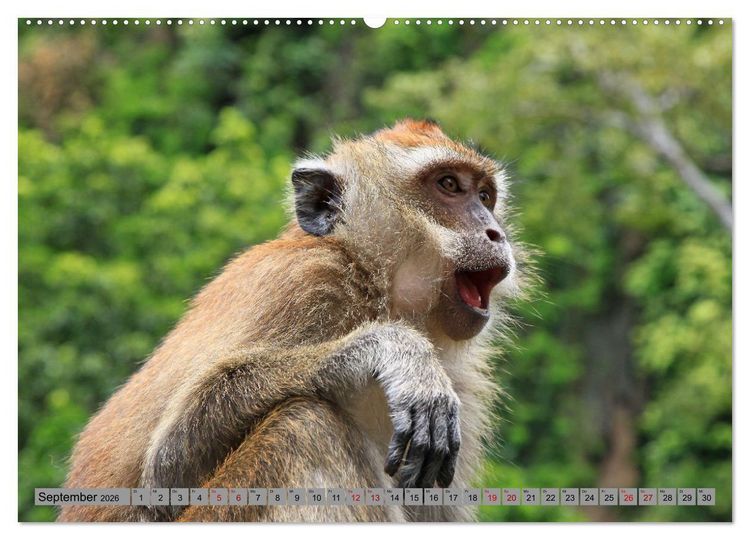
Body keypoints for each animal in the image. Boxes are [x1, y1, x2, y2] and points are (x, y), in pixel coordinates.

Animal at [58, 119, 525, 523]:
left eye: (485, 197)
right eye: (448, 185)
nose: (495, 233)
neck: (369, 282)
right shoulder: (301, 285)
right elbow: (165, 473)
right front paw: (393, 352)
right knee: (304, 426)